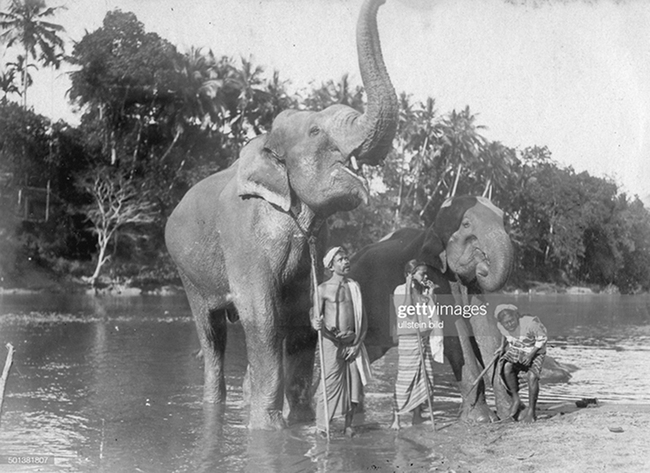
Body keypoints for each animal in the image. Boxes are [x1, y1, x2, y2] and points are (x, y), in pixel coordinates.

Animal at [165, 0, 398, 432]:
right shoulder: (243, 236)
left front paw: (303, 420)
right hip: (186, 271)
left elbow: (303, 315)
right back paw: (216, 406)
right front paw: (269, 428)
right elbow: (264, 315)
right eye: (316, 132)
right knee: (212, 333)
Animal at [346, 195, 512, 420]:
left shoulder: (473, 286)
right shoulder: (436, 276)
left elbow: (485, 329)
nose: (483, 266)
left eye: (503, 220)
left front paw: (513, 413)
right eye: (466, 225)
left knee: (369, 353)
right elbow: (455, 336)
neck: (432, 228)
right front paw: (482, 418)